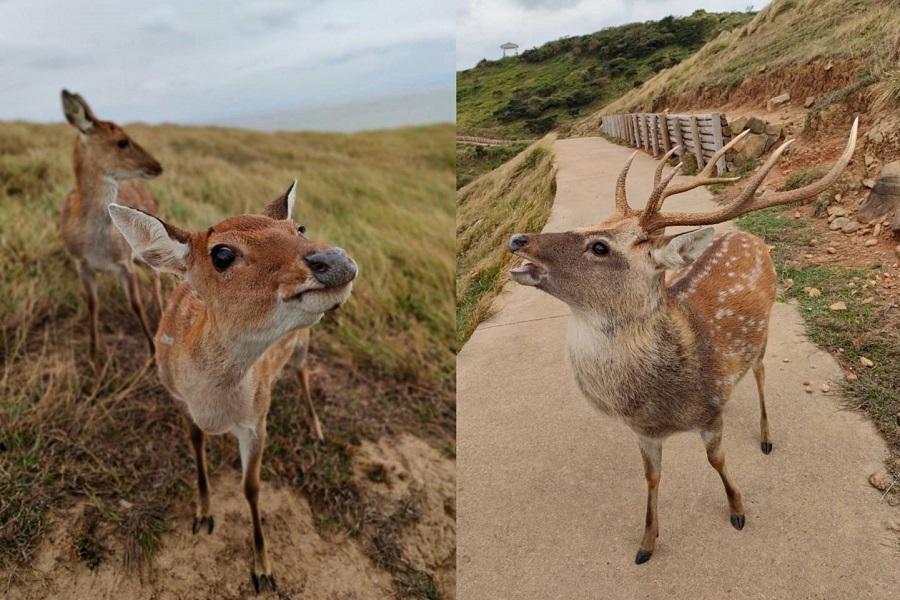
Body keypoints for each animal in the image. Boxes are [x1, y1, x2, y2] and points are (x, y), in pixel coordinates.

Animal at [60, 91, 164, 358]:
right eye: (122, 141)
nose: (158, 166)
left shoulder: (124, 262)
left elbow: (135, 305)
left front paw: (152, 352)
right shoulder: (82, 264)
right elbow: (92, 304)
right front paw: (94, 354)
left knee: (156, 275)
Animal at [107, 179, 356, 592]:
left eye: (299, 229)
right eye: (222, 253)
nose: (337, 260)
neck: (214, 406)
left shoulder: (256, 419)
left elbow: (251, 487)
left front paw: (263, 571)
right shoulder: (179, 399)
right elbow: (197, 450)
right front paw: (203, 516)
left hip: (303, 345)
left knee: (304, 375)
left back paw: (317, 429)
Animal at [506, 119, 856, 564]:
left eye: (599, 246)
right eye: (591, 223)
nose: (519, 239)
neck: (662, 399)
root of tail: (749, 237)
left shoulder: (708, 417)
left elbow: (716, 460)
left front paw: (737, 509)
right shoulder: (643, 433)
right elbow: (651, 478)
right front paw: (646, 543)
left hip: (765, 328)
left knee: (760, 370)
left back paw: (766, 436)